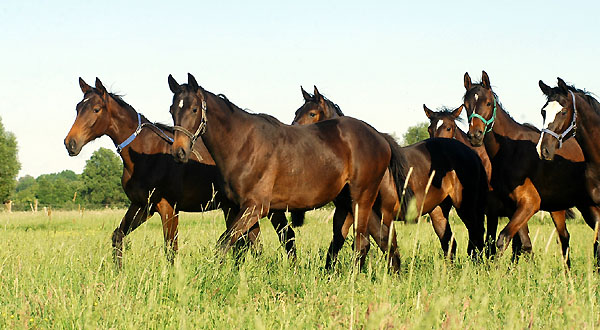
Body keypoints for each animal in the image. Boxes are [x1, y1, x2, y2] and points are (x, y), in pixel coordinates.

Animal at [64, 78, 296, 268]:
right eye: (78, 107)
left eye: (96, 109)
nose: (70, 143)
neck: (146, 153)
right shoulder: (142, 206)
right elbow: (118, 236)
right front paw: (119, 274)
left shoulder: (168, 208)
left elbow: (170, 250)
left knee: (284, 237)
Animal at [166, 73, 406, 270]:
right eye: (172, 110)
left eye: (194, 109)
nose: (179, 151)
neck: (244, 144)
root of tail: (379, 136)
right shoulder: (245, 208)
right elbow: (252, 245)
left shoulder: (255, 207)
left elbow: (225, 243)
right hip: (350, 200)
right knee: (381, 238)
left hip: (361, 198)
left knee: (363, 241)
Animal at [292, 86, 490, 260]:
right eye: (297, 112)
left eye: (312, 113)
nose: (294, 131)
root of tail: (470, 153)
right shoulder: (346, 212)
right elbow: (338, 243)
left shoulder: (381, 215)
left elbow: (380, 245)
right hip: (438, 211)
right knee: (450, 242)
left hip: (465, 206)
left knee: (476, 235)